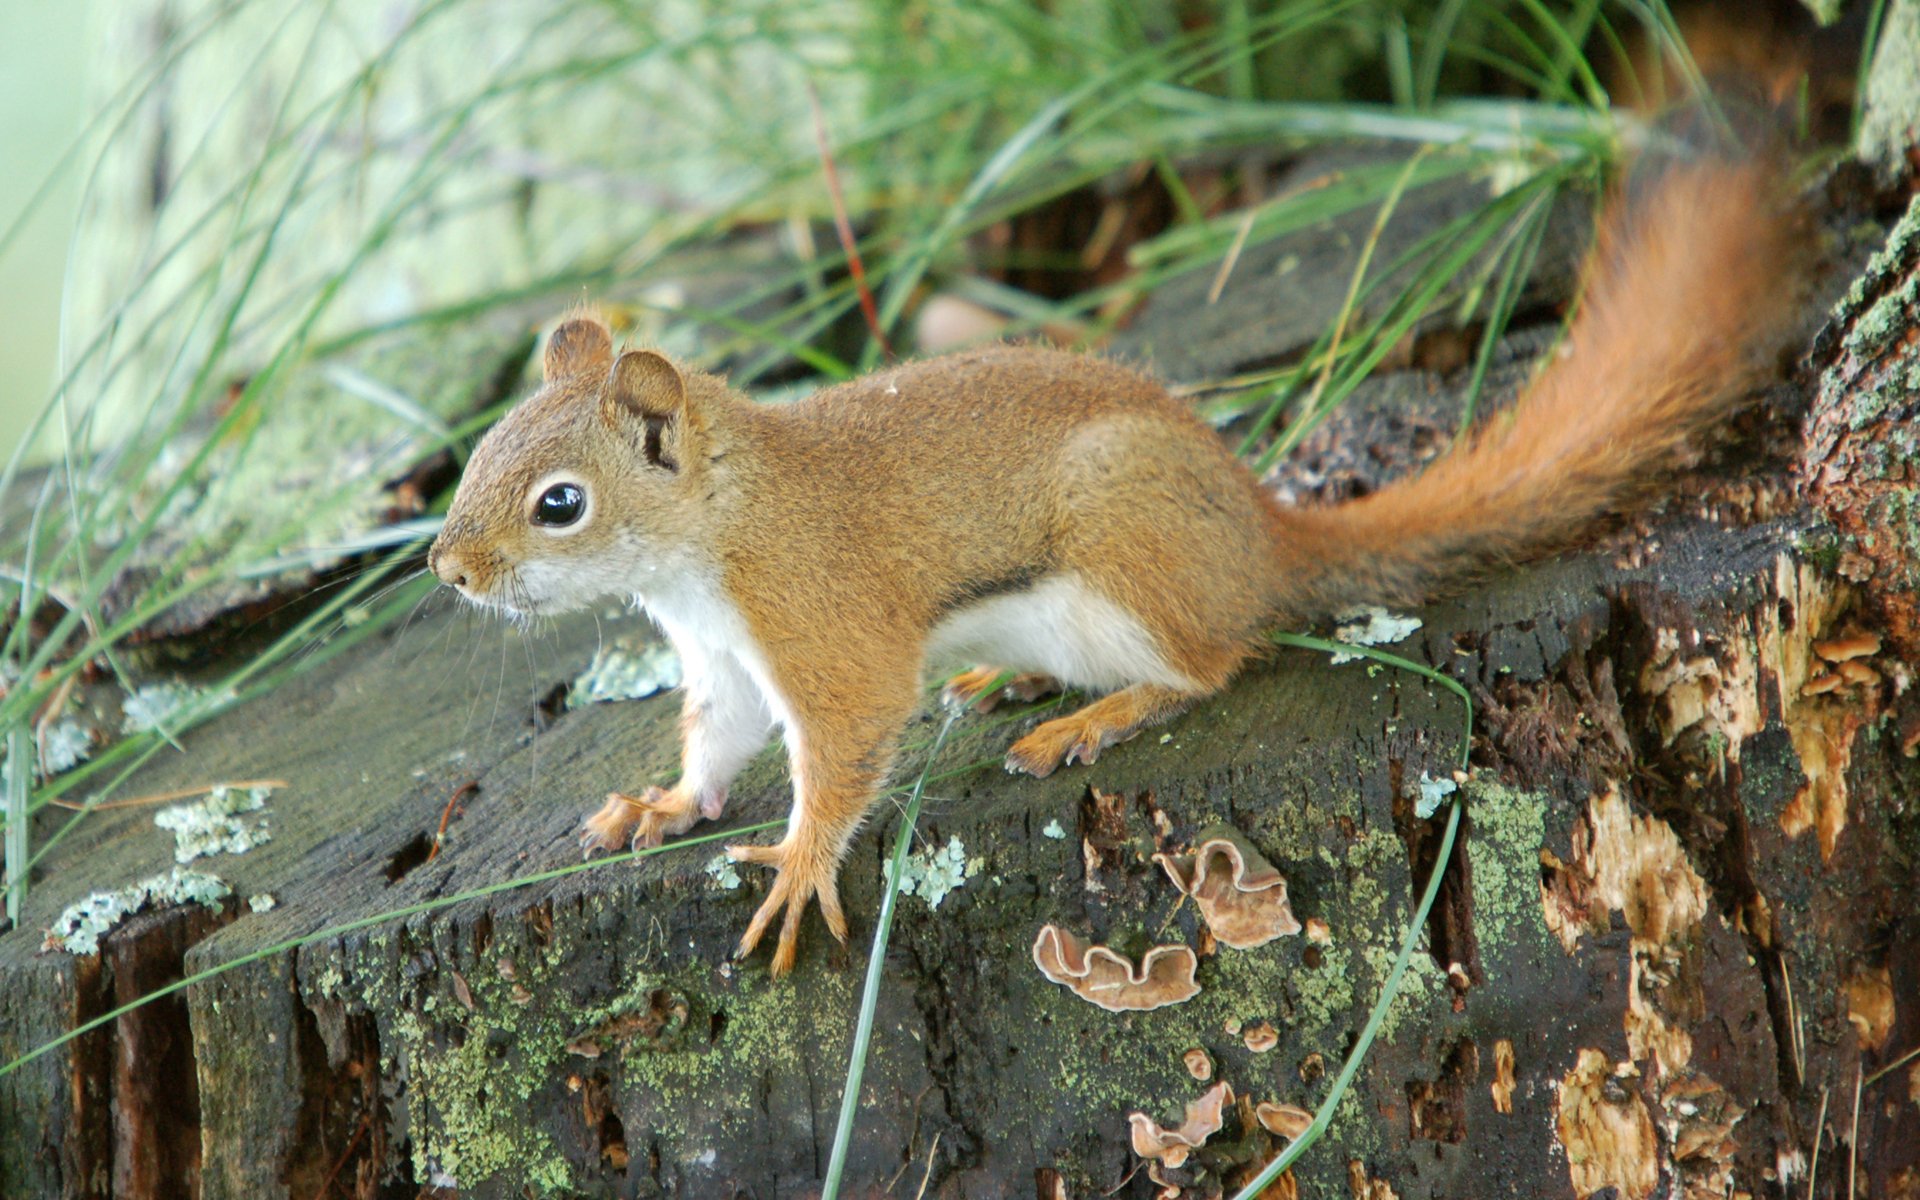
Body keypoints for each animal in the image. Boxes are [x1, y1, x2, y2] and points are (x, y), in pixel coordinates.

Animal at [428, 156, 1804, 975]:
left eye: (559, 504)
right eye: (477, 455)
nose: (447, 570)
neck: (714, 532)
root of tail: (1258, 530)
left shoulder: (821, 623)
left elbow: (848, 742)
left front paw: (801, 868)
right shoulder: (716, 660)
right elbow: (714, 749)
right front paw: (661, 809)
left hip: (1122, 542)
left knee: (1212, 663)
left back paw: (1086, 719)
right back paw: (1011, 686)